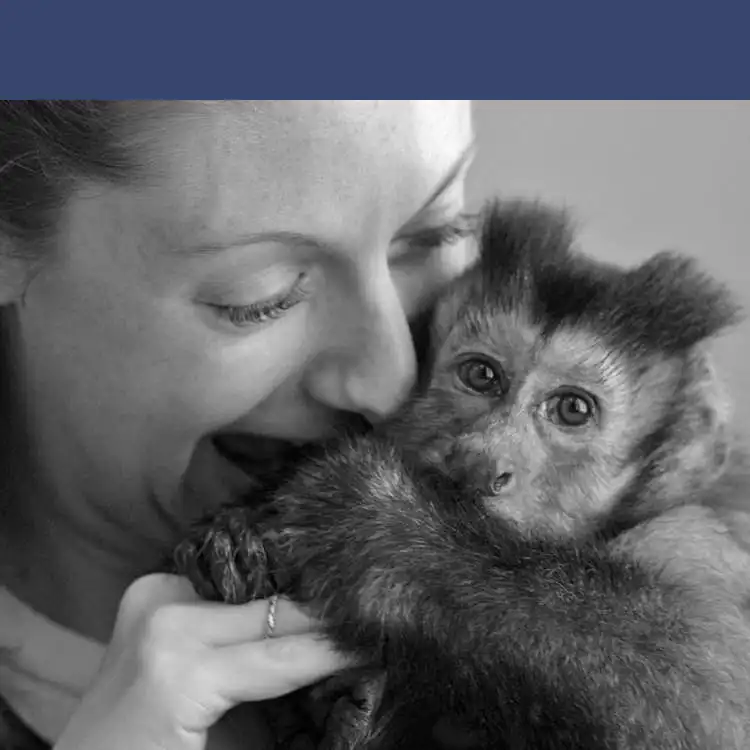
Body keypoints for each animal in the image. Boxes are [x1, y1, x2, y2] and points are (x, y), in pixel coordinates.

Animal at [173, 200, 750, 750]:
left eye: (571, 409)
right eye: (481, 375)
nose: (481, 459)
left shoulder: (697, 532)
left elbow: (710, 701)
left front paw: (371, 525)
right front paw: (238, 529)